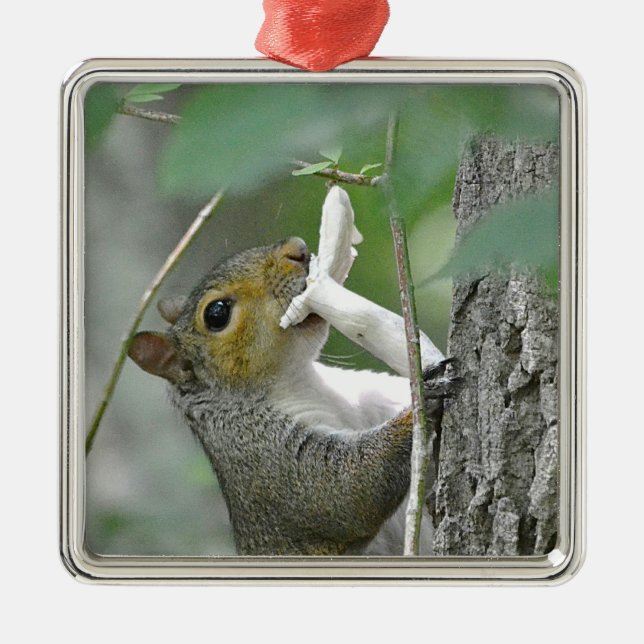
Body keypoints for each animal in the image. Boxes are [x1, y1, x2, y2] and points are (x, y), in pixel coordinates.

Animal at [128, 236, 452, 556]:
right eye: (216, 313)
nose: (297, 249)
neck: (299, 379)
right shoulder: (260, 452)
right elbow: (346, 488)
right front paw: (422, 400)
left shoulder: (367, 395)